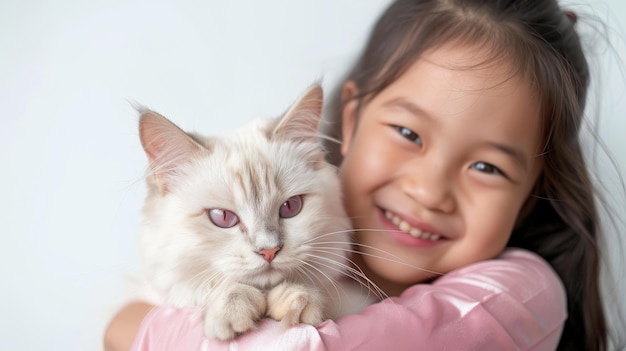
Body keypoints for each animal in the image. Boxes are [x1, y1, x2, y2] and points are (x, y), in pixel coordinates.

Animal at [135, 84, 370, 340]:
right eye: (223, 217)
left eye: (290, 207)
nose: (269, 251)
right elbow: (217, 290)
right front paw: (232, 311)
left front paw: (296, 301)